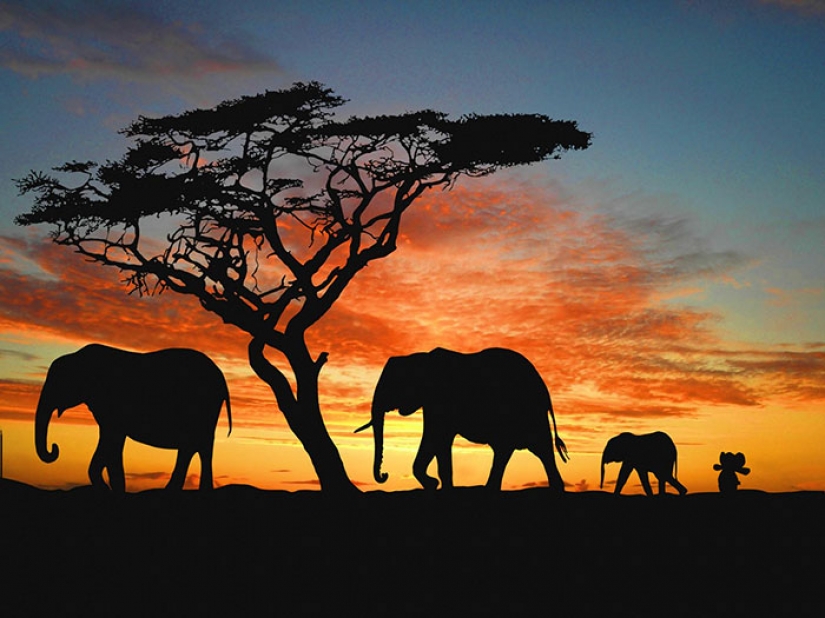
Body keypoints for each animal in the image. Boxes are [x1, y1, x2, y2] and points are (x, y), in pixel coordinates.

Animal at [35, 344, 231, 492]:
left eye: (57, 383)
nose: (55, 448)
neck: (77, 356)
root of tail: (221, 378)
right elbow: (110, 442)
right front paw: (109, 488)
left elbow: (112, 440)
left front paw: (112, 489)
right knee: (194, 446)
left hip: (203, 406)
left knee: (198, 446)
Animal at [354, 347, 569, 491]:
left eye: (392, 385)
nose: (384, 475)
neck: (419, 358)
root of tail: (544, 388)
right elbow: (436, 441)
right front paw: (436, 485)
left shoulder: (440, 400)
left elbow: (436, 437)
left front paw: (436, 485)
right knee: (515, 450)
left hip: (529, 411)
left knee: (538, 448)